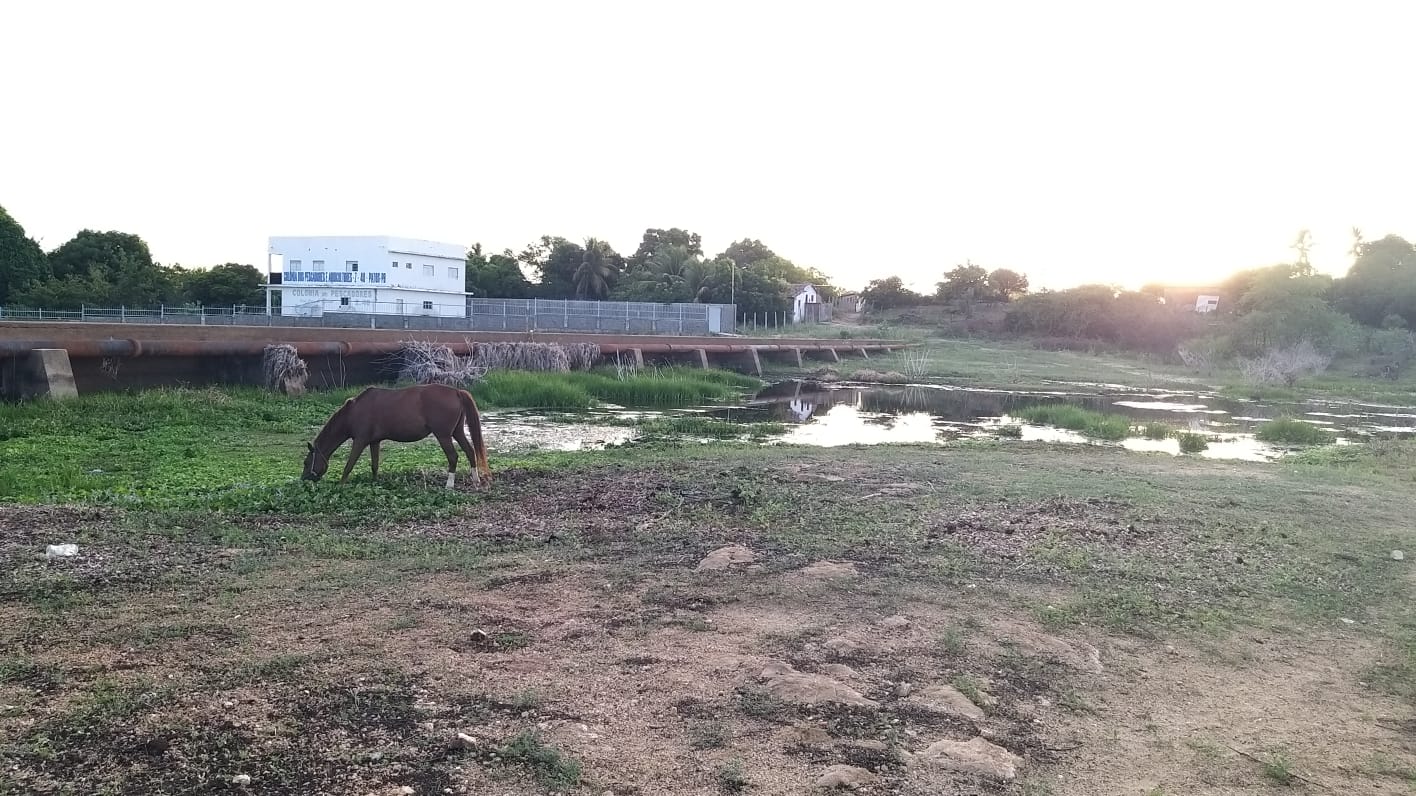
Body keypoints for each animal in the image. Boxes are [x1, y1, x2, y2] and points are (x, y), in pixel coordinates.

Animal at [301, 383, 492, 489]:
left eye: (306, 462)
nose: (303, 480)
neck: (353, 412)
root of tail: (456, 392)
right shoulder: (374, 442)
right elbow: (374, 465)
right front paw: (374, 482)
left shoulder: (360, 441)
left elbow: (349, 465)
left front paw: (341, 485)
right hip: (457, 432)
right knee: (470, 452)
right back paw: (475, 480)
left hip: (443, 435)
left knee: (453, 457)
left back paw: (449, 485)